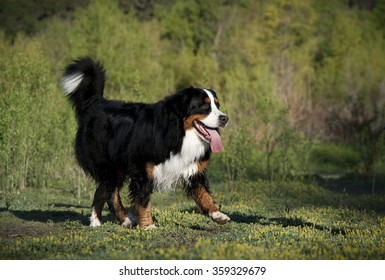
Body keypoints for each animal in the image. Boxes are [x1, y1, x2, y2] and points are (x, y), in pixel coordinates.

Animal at [60, 57, 228, 230]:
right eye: (204, 106)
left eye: (217, 105)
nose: (225, 118)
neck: (179, 133)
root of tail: (96, 102)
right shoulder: (142, 169)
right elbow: (143, 200)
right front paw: (148, 226)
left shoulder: (193, 170)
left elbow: (204, 195)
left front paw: (217, 214)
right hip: (109, 165)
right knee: (110, 193)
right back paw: (112, 220)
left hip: (115, 167)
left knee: (103, 191)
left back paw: (105, 221)